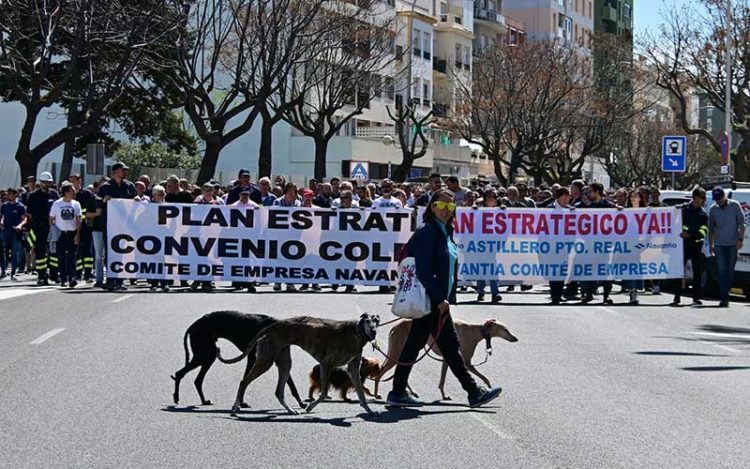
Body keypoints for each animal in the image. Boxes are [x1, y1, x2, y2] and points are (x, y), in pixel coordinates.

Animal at [173, 310, 306, 406]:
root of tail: (194, 325)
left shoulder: (262, 358)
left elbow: (290, 383)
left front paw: (301, 403)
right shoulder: (254, 358)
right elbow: (245, 379)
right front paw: (241, 403)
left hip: (207, 355)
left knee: (197, 380)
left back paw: (204, 401)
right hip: (205, 354)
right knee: (180, 373)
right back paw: (176, 397)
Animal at [374, 318, 520, 398]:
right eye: (504, 329)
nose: (515, 338)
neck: (475, 331)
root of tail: (394, 327)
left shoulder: (447, 358)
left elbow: (442, 380)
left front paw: (444, 395)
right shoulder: (466, 362)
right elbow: (484, 377)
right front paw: (489, 387)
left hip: (402, 354)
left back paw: (410, 392)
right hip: (396, 353)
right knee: (379, 374)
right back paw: (376, 394)